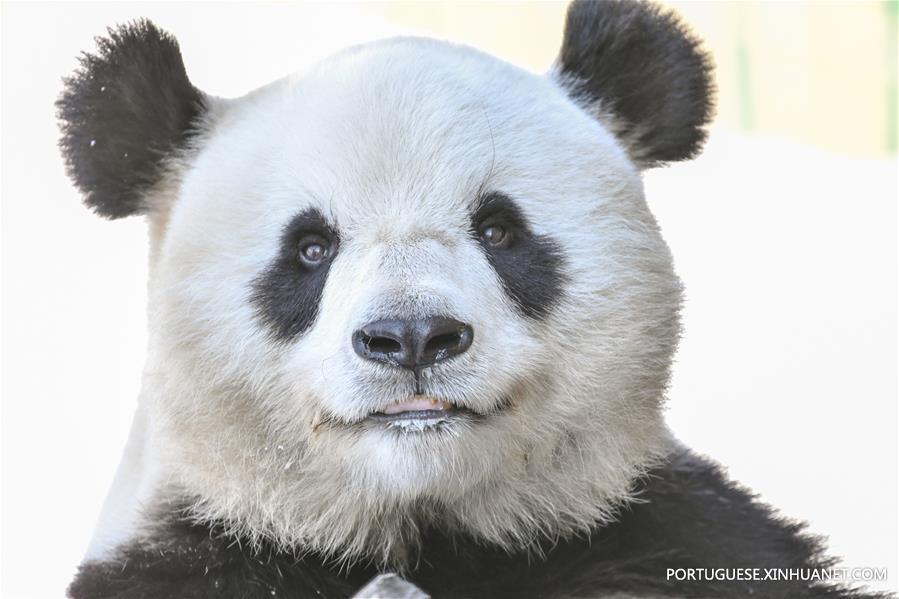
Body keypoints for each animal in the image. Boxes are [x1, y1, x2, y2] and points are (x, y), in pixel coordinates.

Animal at [58, 1, 884, 599]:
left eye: (497, 229)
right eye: (311, 248)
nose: (412, 335)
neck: (428, 527)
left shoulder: (673, 535)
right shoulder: (205, 554)